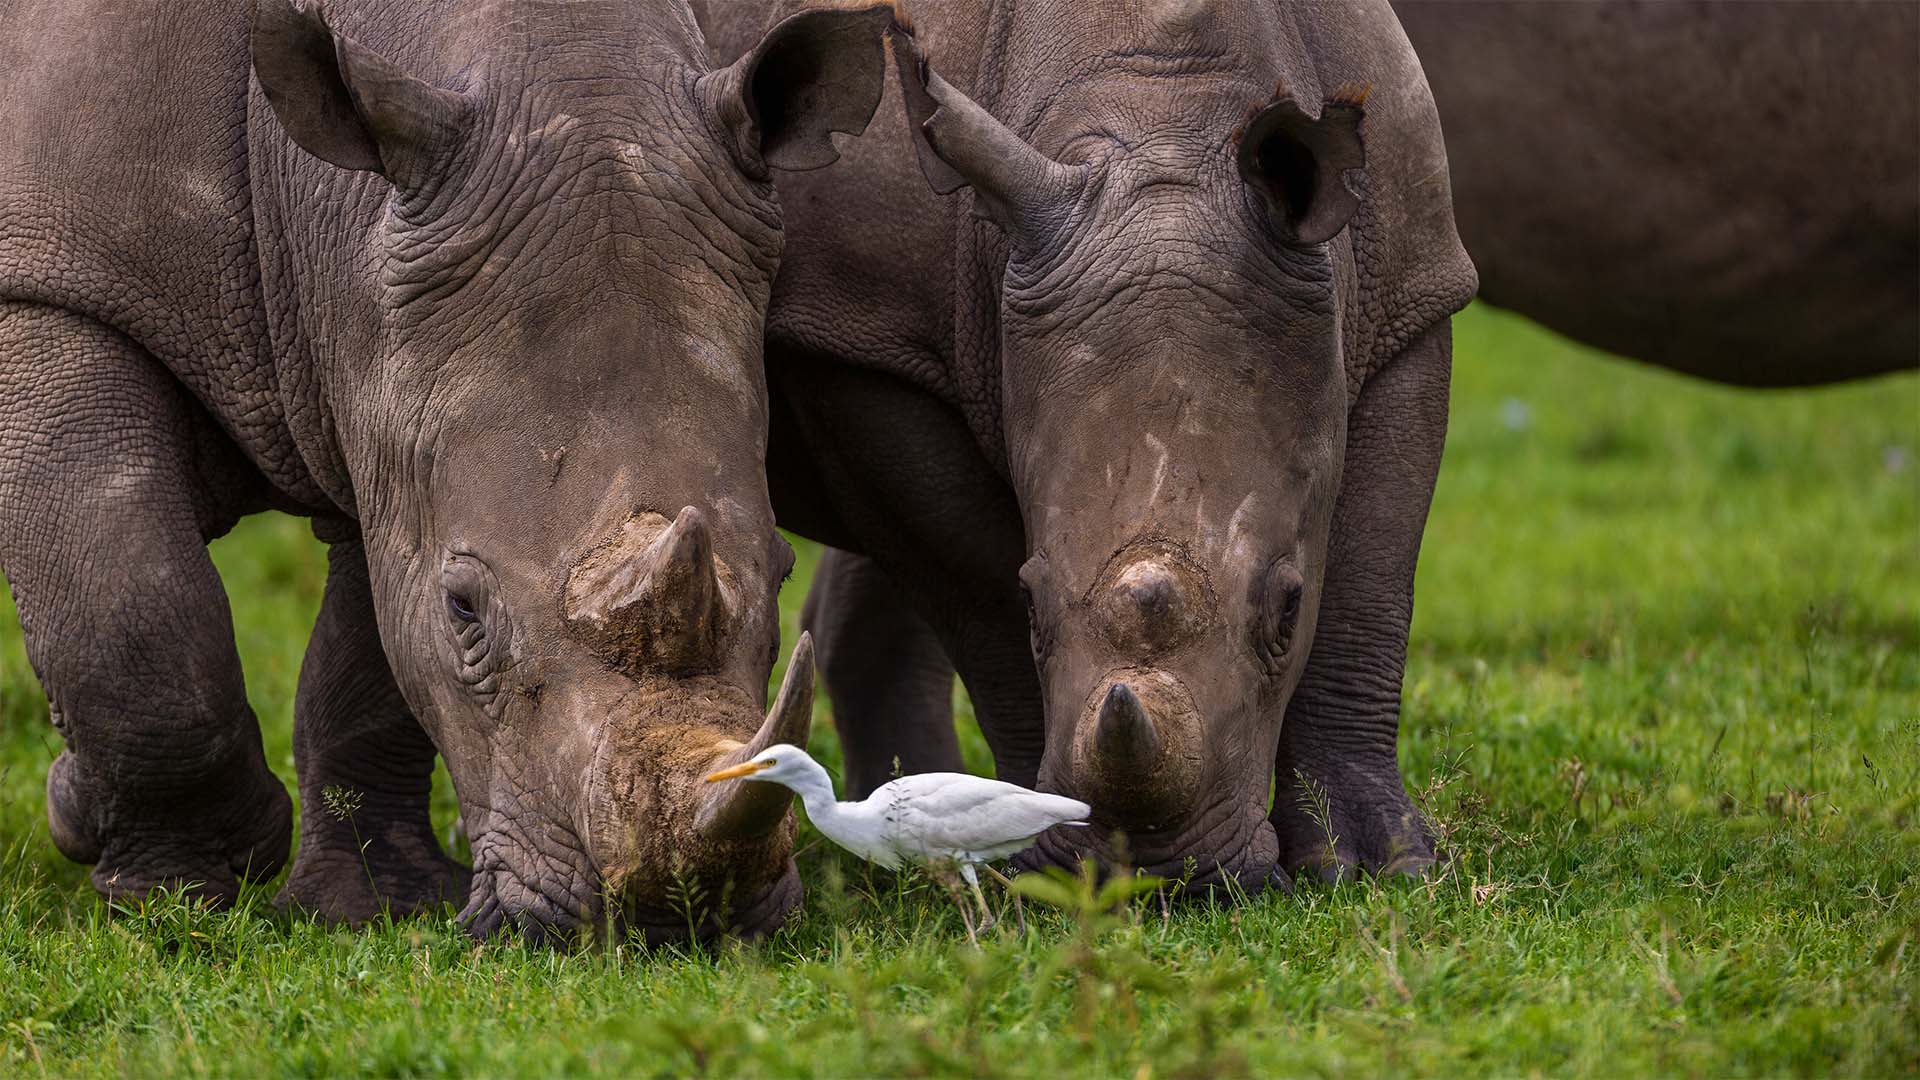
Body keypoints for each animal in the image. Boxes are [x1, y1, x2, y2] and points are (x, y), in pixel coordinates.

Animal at [0, 0, 891, 942]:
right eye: (464, 609)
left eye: (783, 571)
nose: (676, 921)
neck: (317, 196)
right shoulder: (54, 286)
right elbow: (135, 611)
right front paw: (171, 899)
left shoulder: (381, 369)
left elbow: (370, 653)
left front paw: (372, 908)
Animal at [702, 0, 1475, 889]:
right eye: (1035, 600)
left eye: (1287, 609)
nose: (1165, 875)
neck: (1166, 117)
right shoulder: (872, 346)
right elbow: (979, 597)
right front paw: (1032, 857)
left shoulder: (1412, 297)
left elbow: (1367, 590)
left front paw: (1382, 868)